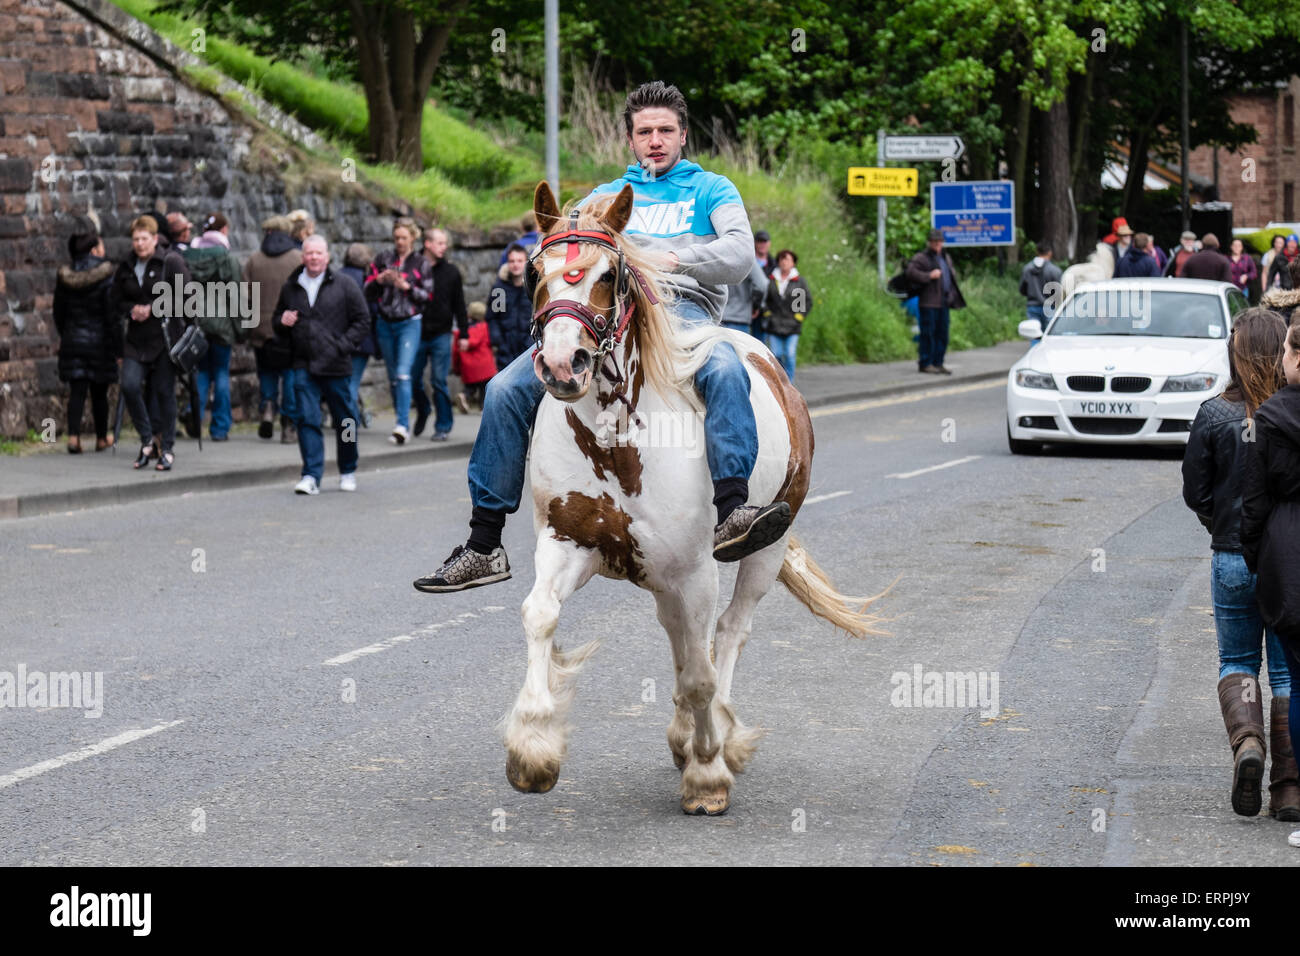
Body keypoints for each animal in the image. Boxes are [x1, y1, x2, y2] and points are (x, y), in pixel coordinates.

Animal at [499, 179, 883, 816]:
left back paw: (717, 737)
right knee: (681, 633)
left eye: (610, 273)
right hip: (663, 575)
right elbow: (540, 614)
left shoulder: (698, 568)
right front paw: (532, 748)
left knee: (726, 633)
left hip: (761, 552)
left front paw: (708, 773)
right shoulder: (568, 542)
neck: (617, 439)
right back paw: (684, 735)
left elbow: (703, 670)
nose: (560, 364)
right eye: (534, 272)